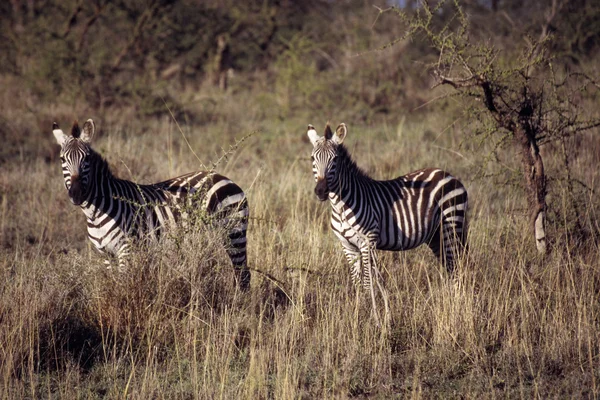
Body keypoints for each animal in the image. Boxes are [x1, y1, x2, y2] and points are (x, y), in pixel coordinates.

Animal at [54, 117, 251, 290]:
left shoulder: (126, 249)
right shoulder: (106, 254)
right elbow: (113, 283)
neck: (95, 213)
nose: (76, 194)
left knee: (243, 274)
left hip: (234, 233)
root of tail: (223, 177)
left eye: (86, 159)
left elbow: (123, 285)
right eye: (62, 159)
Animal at [310, 123, 468, 324]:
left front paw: (374, 319)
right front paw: (357, 315)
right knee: (450, 267)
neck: (340, 206)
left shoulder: (368, 242)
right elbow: (357, 282)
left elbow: (369, 282)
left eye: (335, 160)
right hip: (436, 235)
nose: (321, 191)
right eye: (313, 158)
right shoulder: (347, 246)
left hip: (452, 225)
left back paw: (458, 308)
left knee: (457, 267)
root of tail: (449, 174)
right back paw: (450, 305)